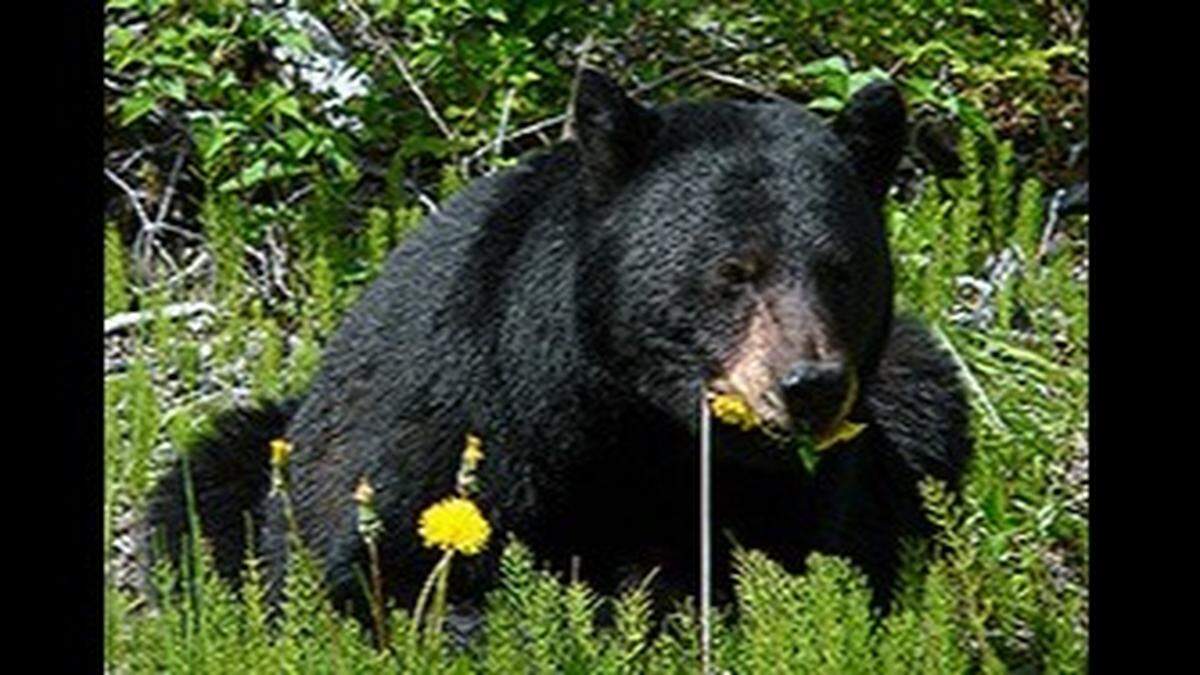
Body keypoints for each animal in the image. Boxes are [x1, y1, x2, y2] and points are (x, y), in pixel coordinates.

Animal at [146, 67, 971, 624]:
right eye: (734, 270)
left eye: (842, 269)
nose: (810, 385)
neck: (625, 414)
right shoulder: (452, 414)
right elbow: (378, 567)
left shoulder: (796, 487)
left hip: (911, 382)